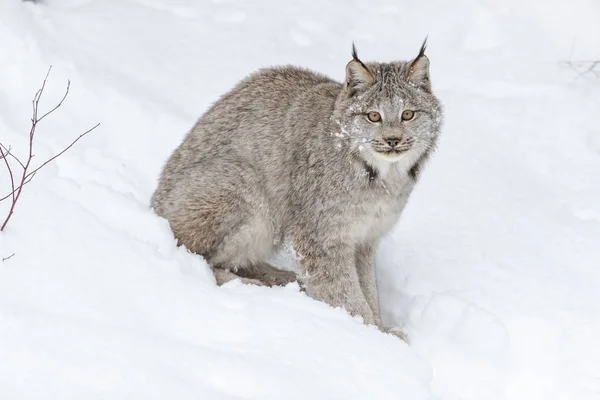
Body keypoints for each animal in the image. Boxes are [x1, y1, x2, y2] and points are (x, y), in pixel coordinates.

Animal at [151, 40, 440, 336]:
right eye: (373, 116)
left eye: (408, 115)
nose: (393, 140)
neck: (380, 176)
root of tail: (155, 203)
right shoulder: (318, 235)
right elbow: (344, 291)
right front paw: (368, 332)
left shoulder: (365, 237)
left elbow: (368, 287)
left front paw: (379, 327)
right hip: (246, 185)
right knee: (194, 256)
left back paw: (281, 279)